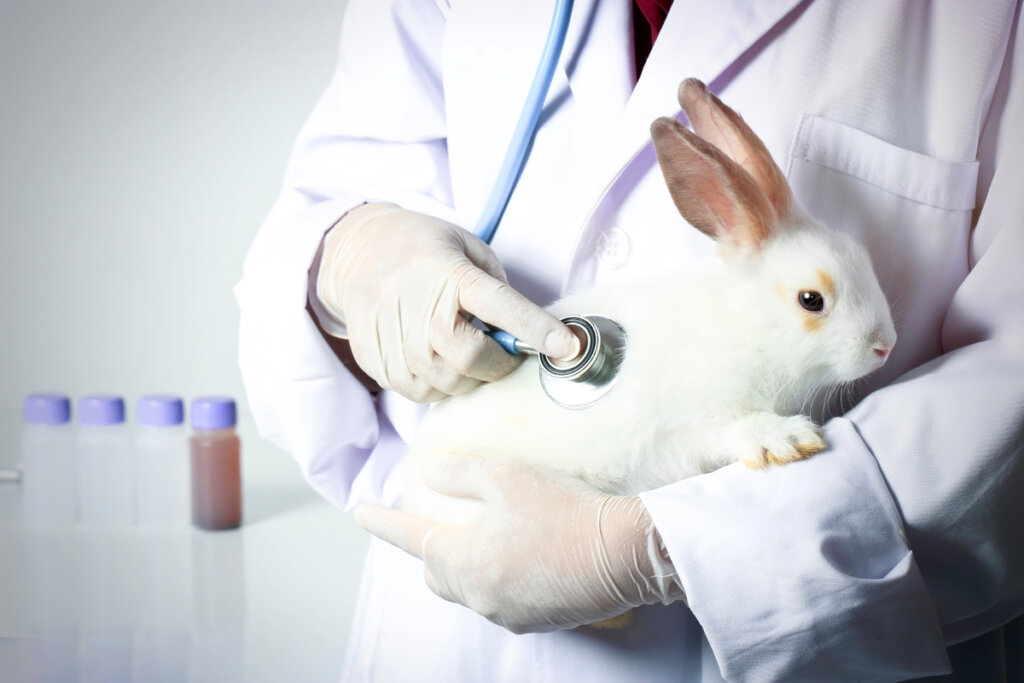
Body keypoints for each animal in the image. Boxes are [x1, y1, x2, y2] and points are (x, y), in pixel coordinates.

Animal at [399, 80, 897, 528]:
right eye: (811, 300)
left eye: (862, 254)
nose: (886, 346)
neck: (746, 329)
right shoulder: (697, 421)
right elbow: (734, 431)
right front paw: (789, 440)